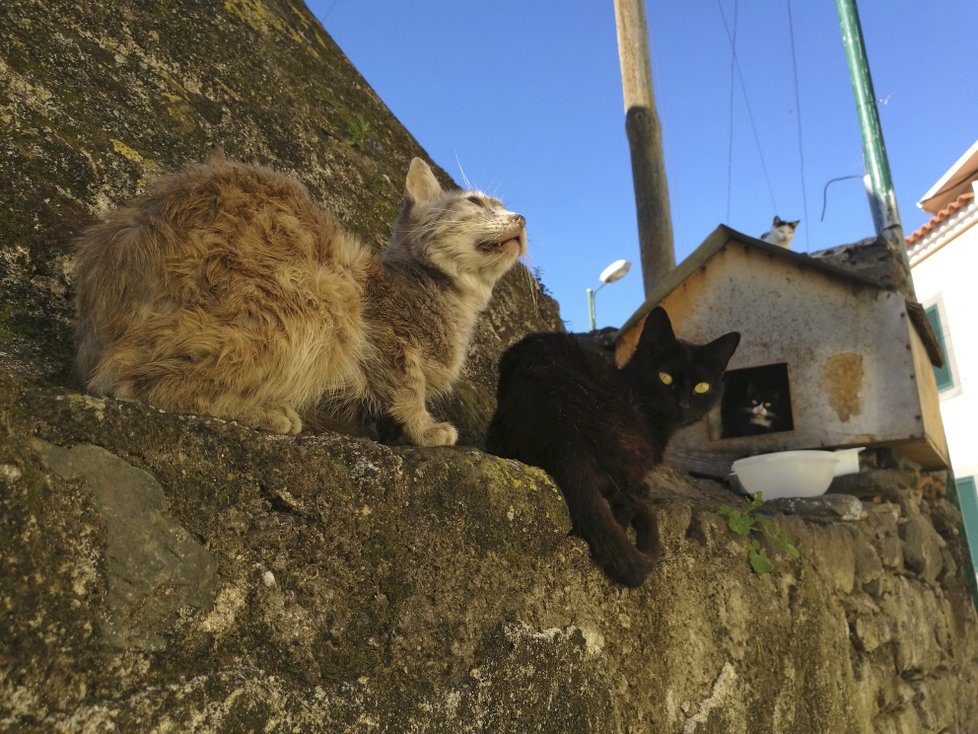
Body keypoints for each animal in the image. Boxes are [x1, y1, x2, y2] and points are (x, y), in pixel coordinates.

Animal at [74, 156, 528, 446]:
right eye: (476, 202)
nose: (522, 218)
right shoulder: (389, 341)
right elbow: (407, 390)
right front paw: (426, 430)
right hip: (324, 305)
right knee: (135, 381)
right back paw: (266, 411)